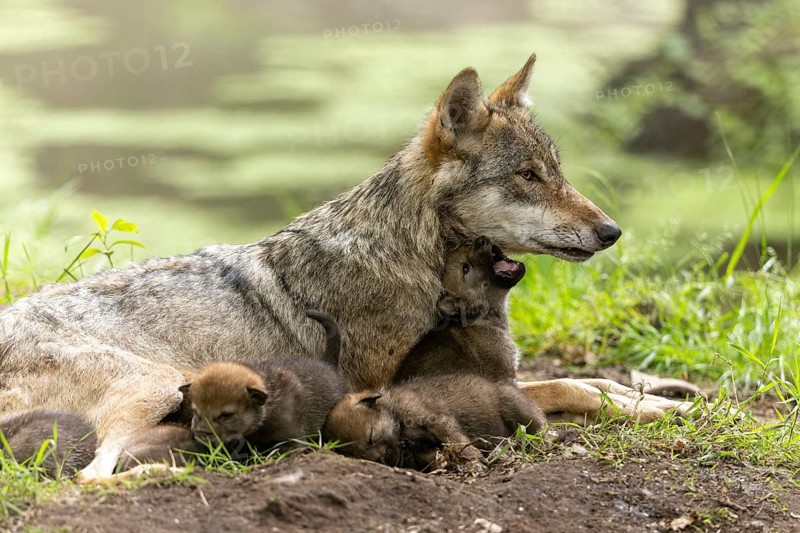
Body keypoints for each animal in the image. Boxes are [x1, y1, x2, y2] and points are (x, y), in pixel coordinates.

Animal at [0, 53, 682, 482]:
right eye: (527, 176)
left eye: (555, 172)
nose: (612, 232)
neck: (415, 259)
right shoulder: (413, 384)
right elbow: (571, 385)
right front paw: (652, 408)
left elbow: (589, 381)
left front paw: (666, 396)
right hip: (156, 383)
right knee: (91, 477)